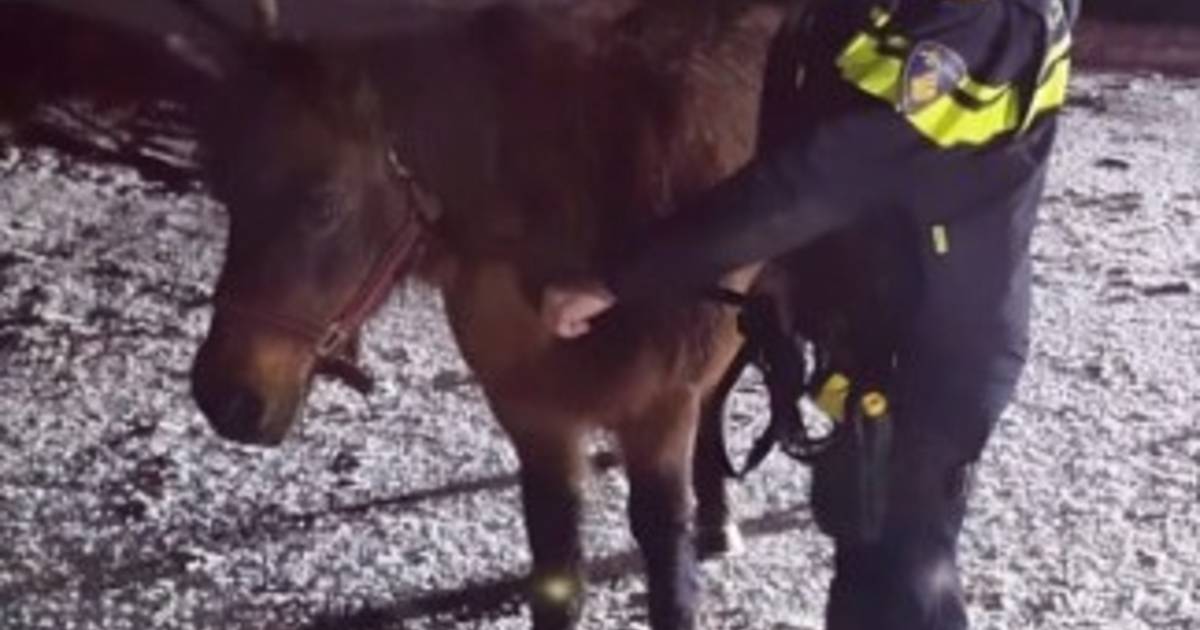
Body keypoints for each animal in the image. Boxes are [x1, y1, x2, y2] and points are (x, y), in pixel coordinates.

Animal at [182, 1, 779, 627]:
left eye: (324, 203)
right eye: (227, 193)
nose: (225, 398)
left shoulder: (660, 411)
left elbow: (667, 565)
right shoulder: (533, 415)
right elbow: (556, 562)